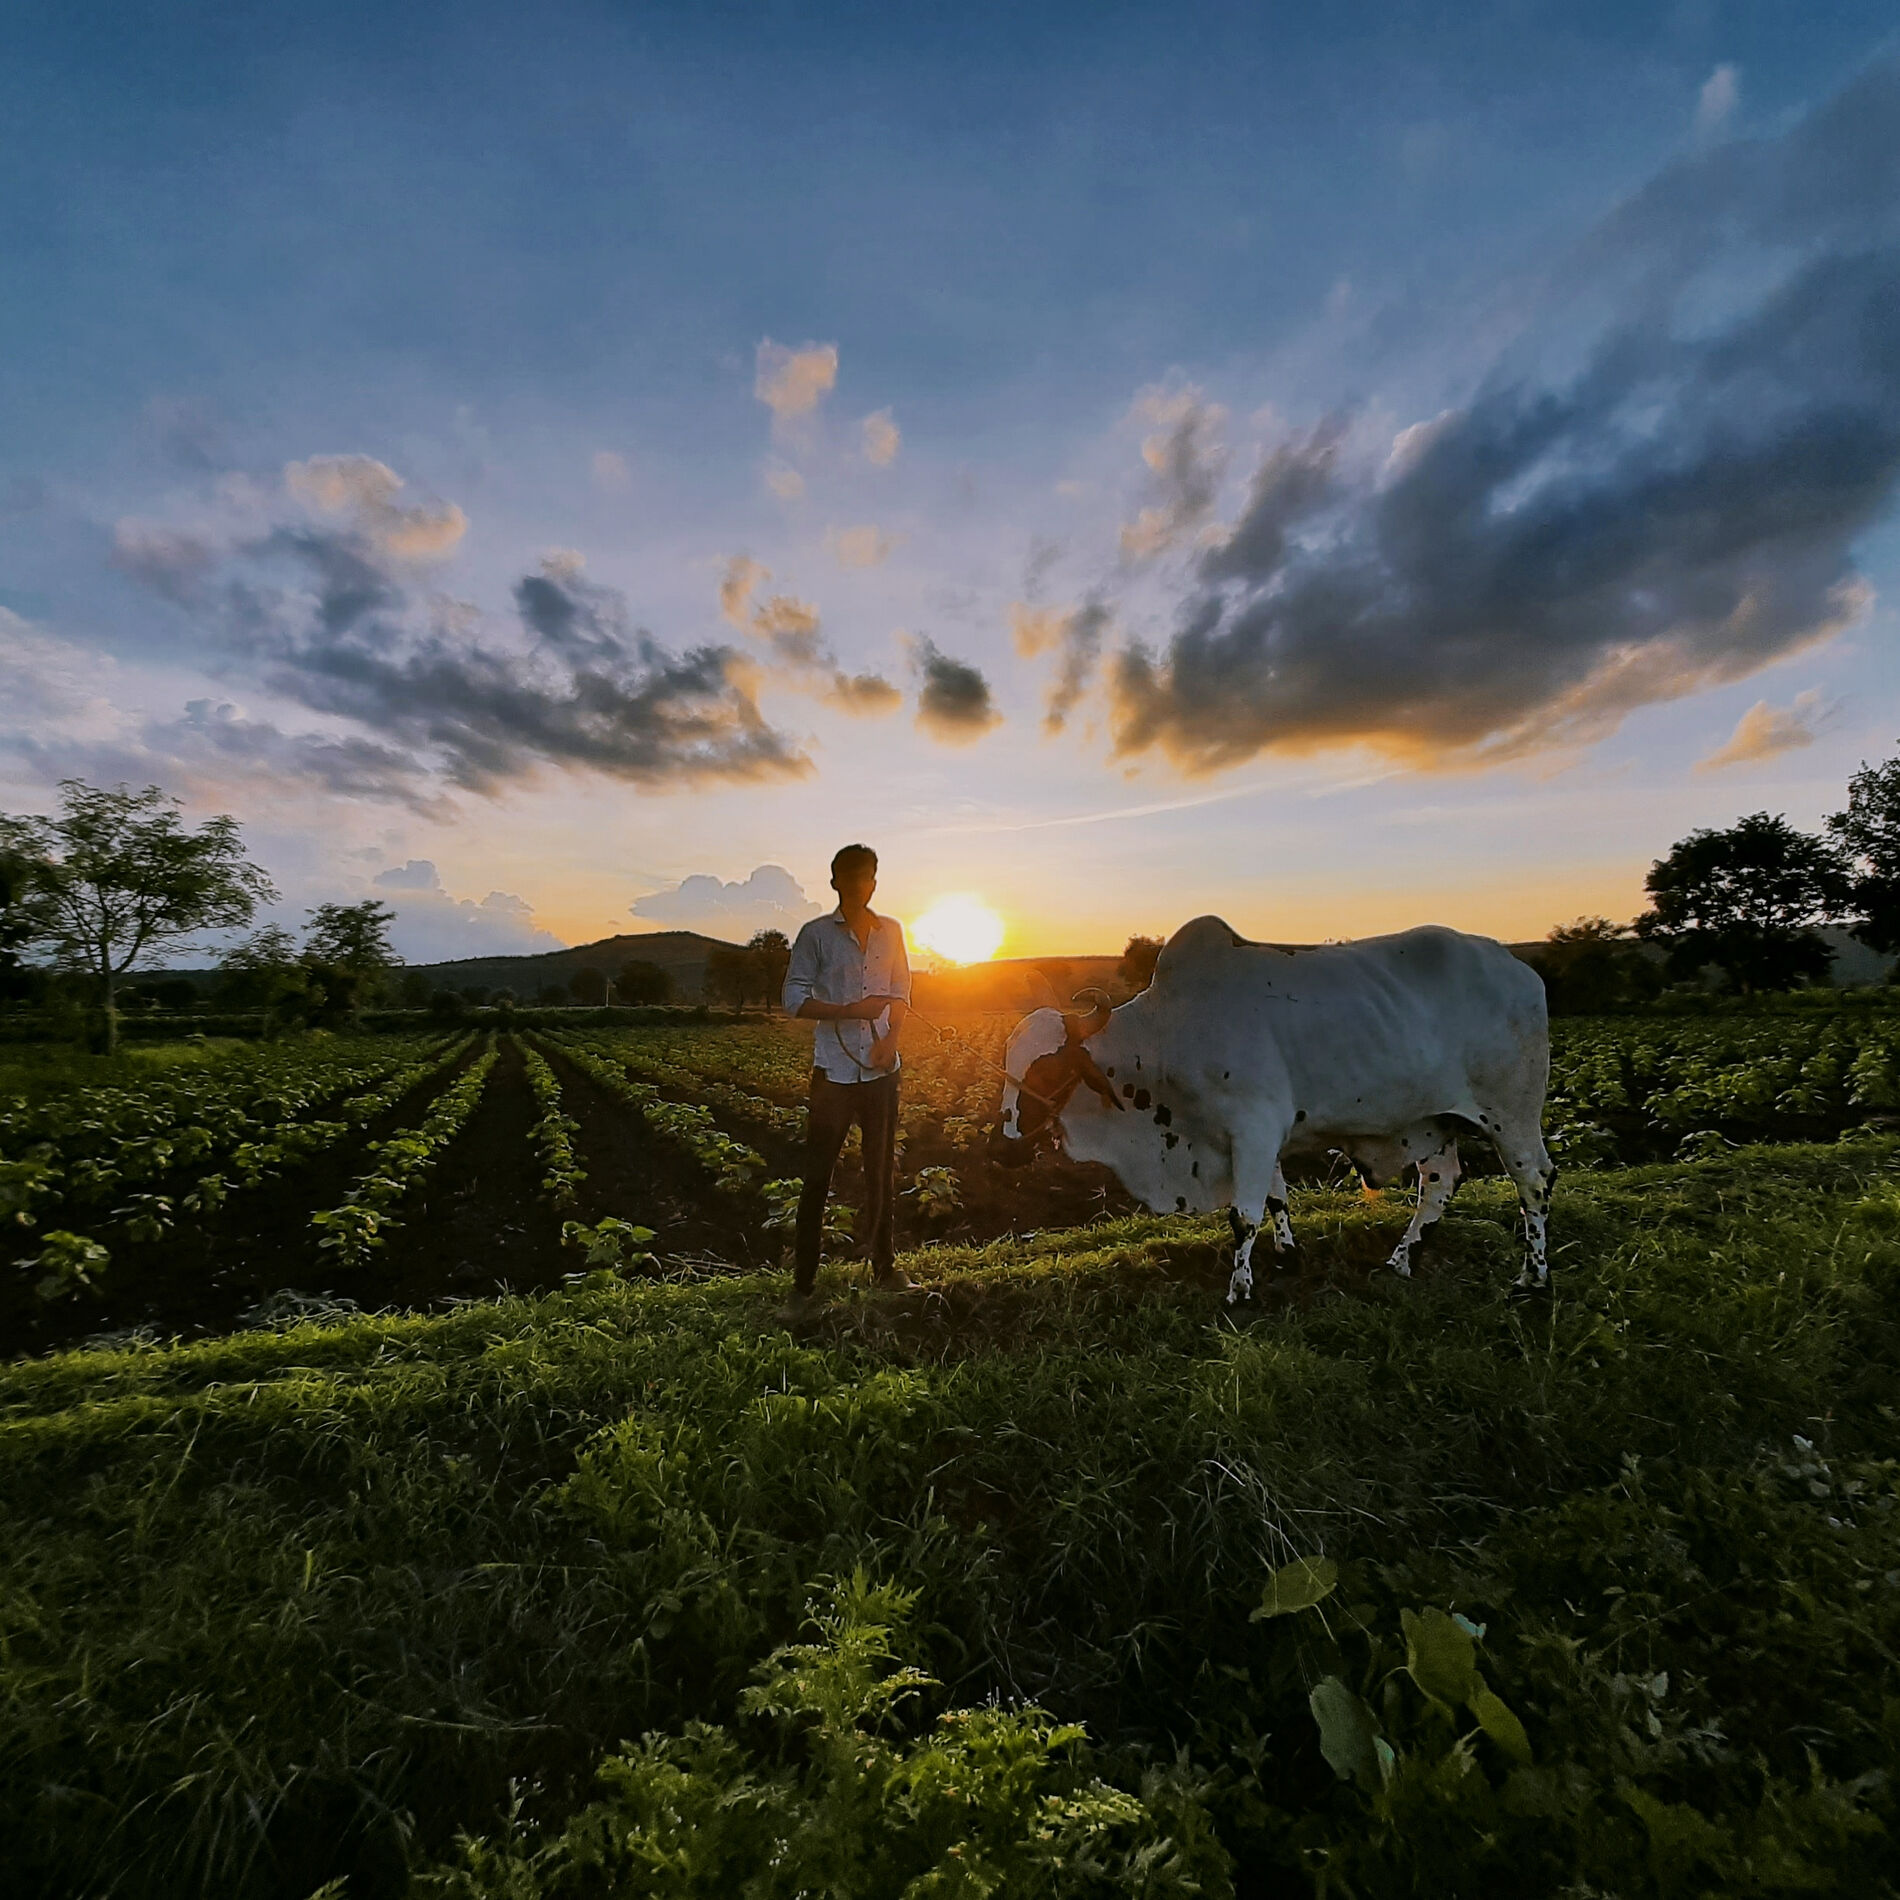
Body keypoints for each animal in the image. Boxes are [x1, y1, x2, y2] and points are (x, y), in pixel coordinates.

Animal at [995, 915, 1558, 1299]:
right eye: (1008, 1065)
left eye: (1048, 1070)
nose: (1004, 1150)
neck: (1168, 1034)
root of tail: (1519, 970)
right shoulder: (1252, 1136)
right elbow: (1275, 1200)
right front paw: (1288, 1255)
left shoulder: (1255, 1127)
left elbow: (1244, 1215)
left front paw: (1240, 1288)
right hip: (1434, 1120)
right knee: (1439, 1183)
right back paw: (1401, 1260)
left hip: (1512, 1114)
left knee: (1534, 1181)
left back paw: (1532, 1277)